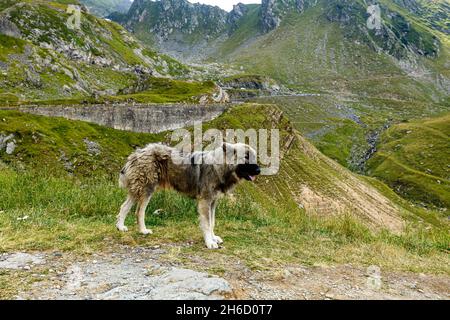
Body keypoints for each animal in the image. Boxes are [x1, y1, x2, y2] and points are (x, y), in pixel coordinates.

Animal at [118, 142, 262, 250]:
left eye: (254, 157)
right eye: (246, 157)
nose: (259, 170)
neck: (220, 166)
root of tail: (138, 152)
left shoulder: (213, 202)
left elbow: (212, 223)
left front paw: (213, 238)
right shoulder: (205, 201)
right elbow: (207, 224)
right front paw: (209, 242)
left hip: (138, 190)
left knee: (124, 207)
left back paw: (120, 227)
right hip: (147, 189)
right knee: (139, 211)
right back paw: (143, 230)